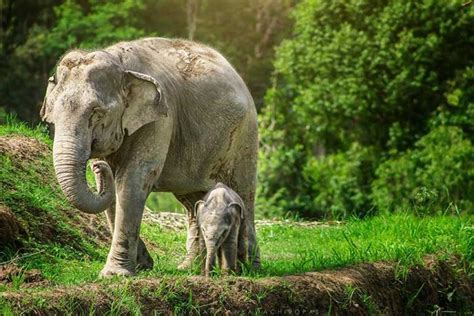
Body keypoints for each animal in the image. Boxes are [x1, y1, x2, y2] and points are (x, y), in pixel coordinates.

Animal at [41, 37, 260, 276]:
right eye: (51, 118)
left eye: (96, 113)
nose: (97, 167)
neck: (120, 62)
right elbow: (114, 190)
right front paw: (142, 264)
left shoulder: (161, 117)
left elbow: (133, 179)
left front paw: (116, 275)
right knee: (192, 199)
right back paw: (189, 267)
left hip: (245, 137)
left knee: (243, 192)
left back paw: (250, 268)